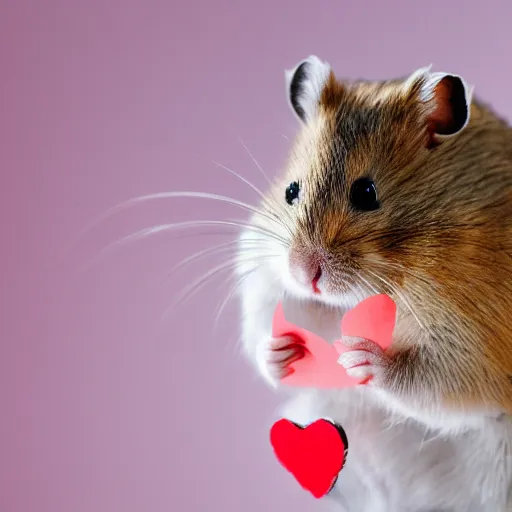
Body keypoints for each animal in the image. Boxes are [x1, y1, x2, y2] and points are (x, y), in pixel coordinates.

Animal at [238, 56, 512, 512]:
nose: (303, 273)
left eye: (366, 193)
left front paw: (356, 357)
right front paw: (282, 351)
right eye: (291, 191)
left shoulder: (475, 348)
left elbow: (427, 380)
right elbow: (264, 336)